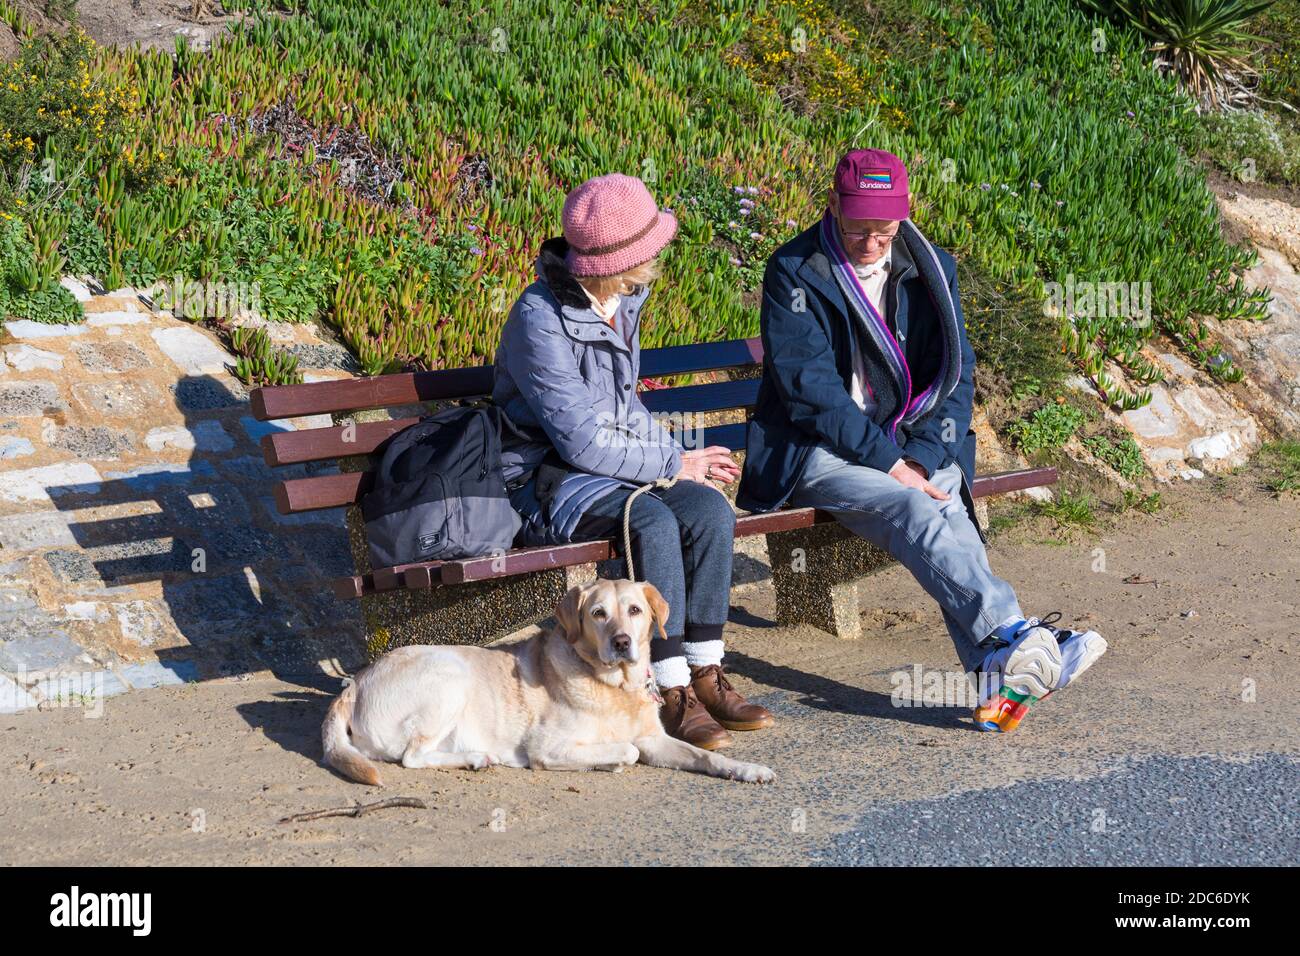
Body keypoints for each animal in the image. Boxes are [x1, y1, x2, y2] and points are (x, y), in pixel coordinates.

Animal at [322, 580, 769, 790]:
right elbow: (626, 749)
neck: (614, 687)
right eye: (598, 613)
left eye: (635, 610)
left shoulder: (656, 739)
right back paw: (476, 757)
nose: (622, 642)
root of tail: (353, 683)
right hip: (449, 676)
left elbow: (705, 756)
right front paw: (609, 760)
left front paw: (747, 769)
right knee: (412, 757)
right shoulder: (546, 746)